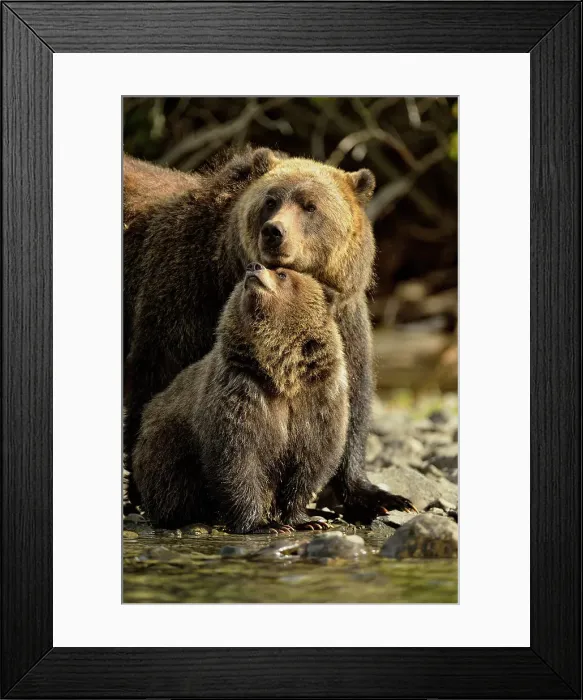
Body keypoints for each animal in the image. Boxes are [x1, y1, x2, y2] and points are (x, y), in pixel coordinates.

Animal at [133, 264, 349, 532]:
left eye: (283, 274)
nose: (254, 267)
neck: (282, 375)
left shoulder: (317, 399)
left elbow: (311, 460)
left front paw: (306, 521)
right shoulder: (241, 393)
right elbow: (238, 458)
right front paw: (264, 524)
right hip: (167, 445)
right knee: (174, 484)